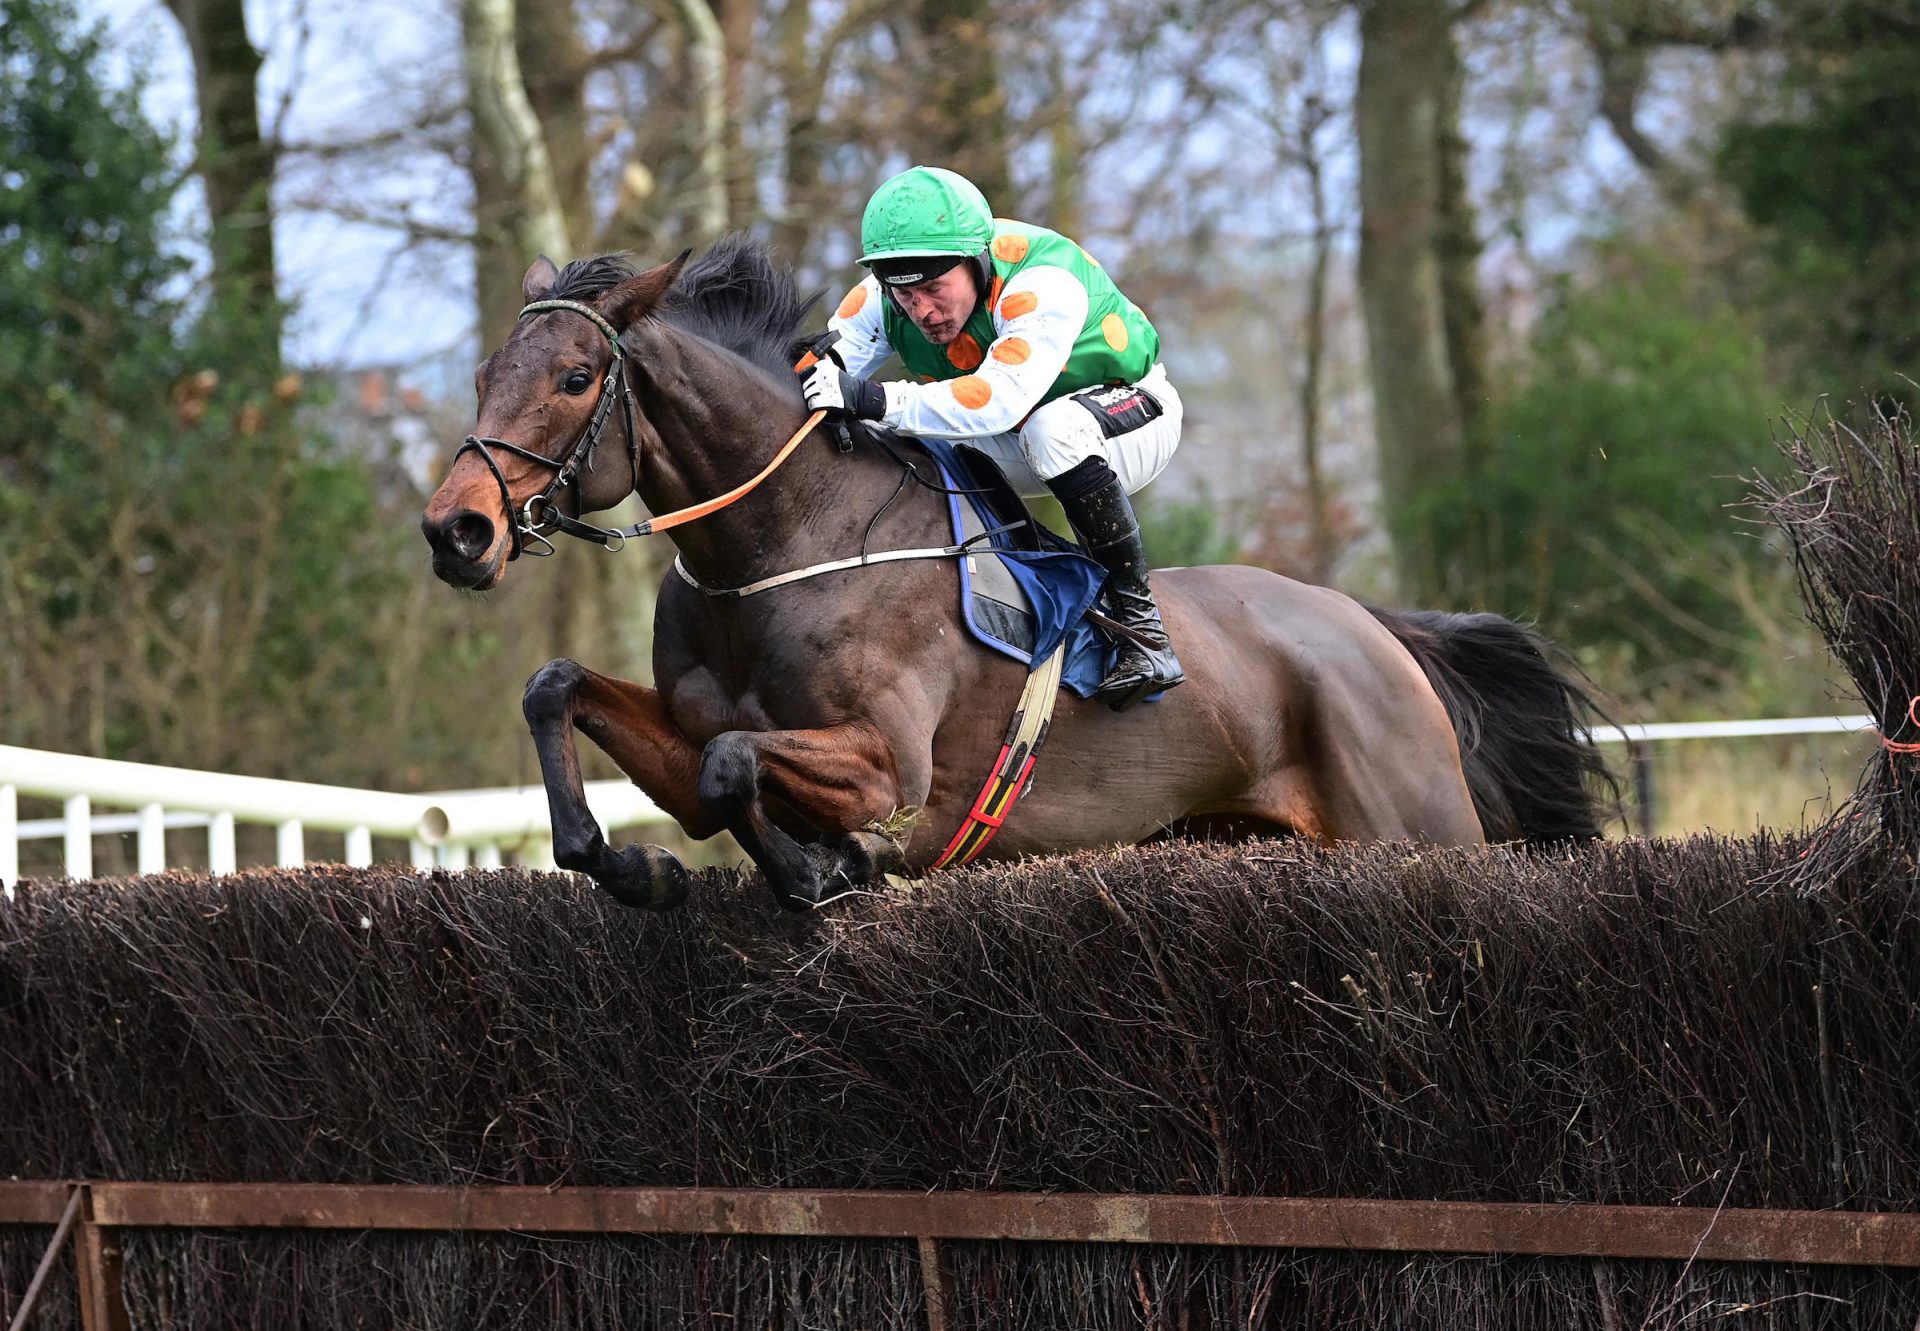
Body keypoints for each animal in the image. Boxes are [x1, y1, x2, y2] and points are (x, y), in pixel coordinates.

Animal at [424, 236, 1620, 914]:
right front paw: (630, 865)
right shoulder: (680, 738)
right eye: (484, 370)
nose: (457, 530)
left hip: (1419, 826)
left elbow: (734, 770)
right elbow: (576, 699)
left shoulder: (892, 773)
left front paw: (821, 871)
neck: (778, 544)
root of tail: (1375, 627)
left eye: (576, 377)